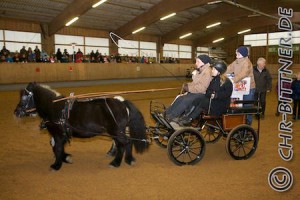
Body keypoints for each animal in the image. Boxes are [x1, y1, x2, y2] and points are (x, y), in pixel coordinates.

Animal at [14, 82, 149, 171]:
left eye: (24, 97)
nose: (16, 112)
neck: (55, 108)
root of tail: (121, 102)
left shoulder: (58, 134)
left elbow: (57, 148)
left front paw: (56, 165)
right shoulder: (61, 134)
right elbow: (56, 148)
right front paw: (66, 158)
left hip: (116, 131)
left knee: (123, 144)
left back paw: (116, 163)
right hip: (119, 130)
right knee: (127, 142)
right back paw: (129, 159)